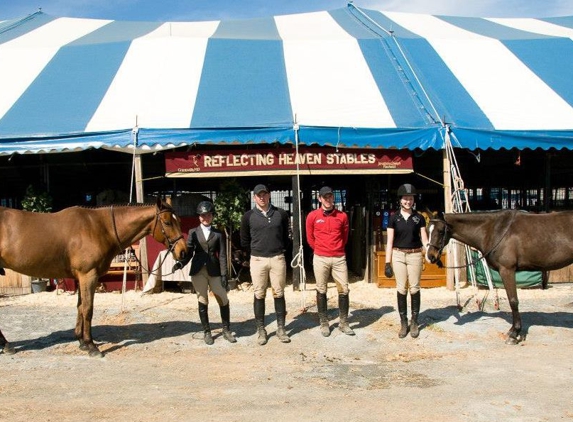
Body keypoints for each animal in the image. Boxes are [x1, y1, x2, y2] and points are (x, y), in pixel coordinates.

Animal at [0, 199, 187, 358]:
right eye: (168, 222)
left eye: (178, 221)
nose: (183, 252)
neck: (99, 228)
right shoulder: (88, 275)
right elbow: (88, 309)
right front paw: (91, 346)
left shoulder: (82, 277)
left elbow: (80, 307)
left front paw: (82, 341)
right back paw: (7, 345)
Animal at [426, 211, 572, 346]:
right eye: (427, 230)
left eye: (440, 231)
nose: (430, 256)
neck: (495, 230)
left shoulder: (507, 270)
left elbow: (513, 301)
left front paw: (514, 334)